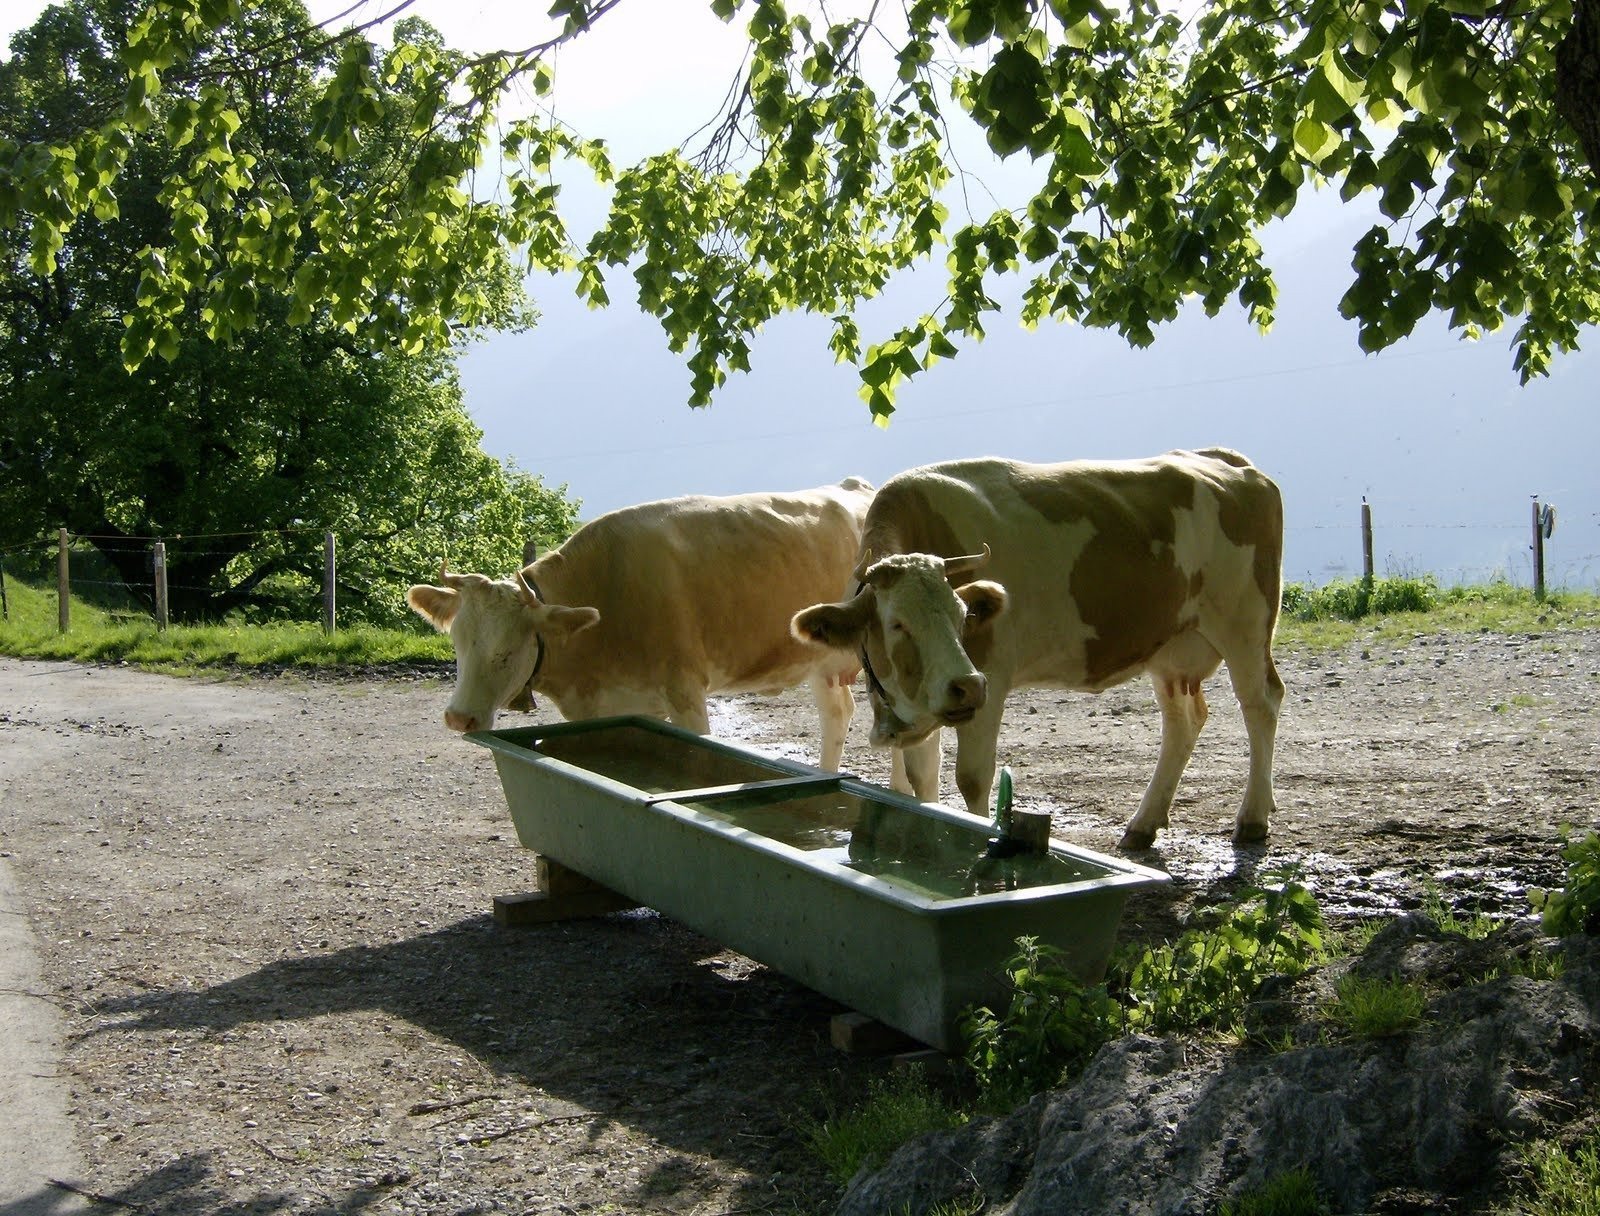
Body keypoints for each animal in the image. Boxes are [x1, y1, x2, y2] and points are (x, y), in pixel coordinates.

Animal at [407, 477, 874, 771]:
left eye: (507, 650)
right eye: (457, 642)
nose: (458, 718)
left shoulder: (686, 694)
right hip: (821, 663)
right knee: (837, 715)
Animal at [790, 449, 1284, 849]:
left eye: (962, 614)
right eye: (897, 623)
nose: (966, 686)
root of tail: (1226, 461)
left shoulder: (990, 678)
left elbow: (972, 779)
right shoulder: (922, 705)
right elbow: (920, 779)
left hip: (1245, 622)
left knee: (1261, 703)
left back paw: (1252, 819)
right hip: (1171, 647)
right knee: (1183, 721)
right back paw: (1143, 825)